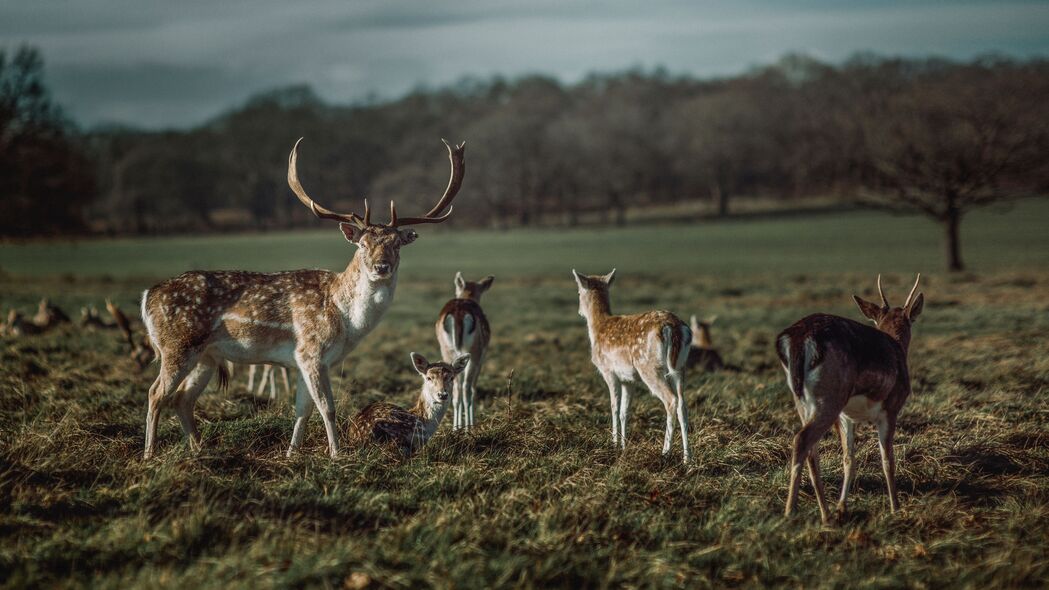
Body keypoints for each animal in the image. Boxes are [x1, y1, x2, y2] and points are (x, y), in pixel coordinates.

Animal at [140, 136, 467, 459]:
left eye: (396, 243)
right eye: (362, 244)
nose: (381, 266)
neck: (344, 319)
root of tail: (147, 297)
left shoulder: (302, 360)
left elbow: (303, 410)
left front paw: (290, 454)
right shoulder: (311, 351)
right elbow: (327, 407)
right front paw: (336, 455)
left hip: (206, 356)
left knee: (182, 399)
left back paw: (200, 450)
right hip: (177, 345)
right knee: (155, 393)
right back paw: (149, 454)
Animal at [570, 268, 692, 461]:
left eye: (578, 292)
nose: (579, 311)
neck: (598, 327)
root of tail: (674, 328)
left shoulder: (609, 371)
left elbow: (613, 407)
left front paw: (613, 444)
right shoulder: (629, 380)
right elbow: (624, 412)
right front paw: (623, 445)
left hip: (649, 367)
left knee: (671, 400)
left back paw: (665, 452)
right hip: (680, 366)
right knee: (682, 404)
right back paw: (687, 458)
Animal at [776, 272, 923, 520]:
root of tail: (796, 340)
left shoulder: (847, 417)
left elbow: (849, 459)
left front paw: (842, 507)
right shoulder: (891, 408)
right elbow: (887, 459)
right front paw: (895, 508)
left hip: (803, 401)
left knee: (811, 450)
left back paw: (826, 513)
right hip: (830, 398)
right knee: (802, 439)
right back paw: (790, 512)